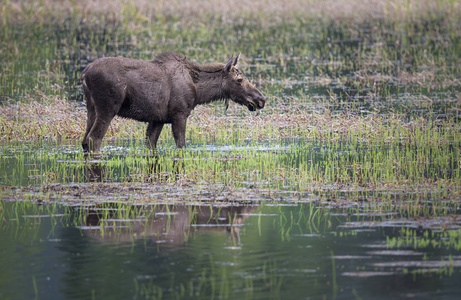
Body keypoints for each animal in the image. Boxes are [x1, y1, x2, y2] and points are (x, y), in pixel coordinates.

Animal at [81, 52, 264, 152]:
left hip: (91, 108)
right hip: (108, 108)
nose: (261, 99)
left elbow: (150, 144)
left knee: (84, 141)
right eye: (239, 80)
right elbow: (181, 145)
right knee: (93, 139)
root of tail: (84, 73)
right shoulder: (179, 114)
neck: (199, 92)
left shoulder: (158, 119)